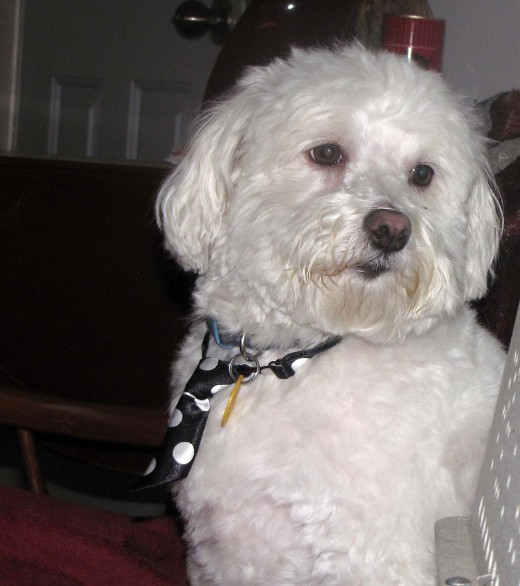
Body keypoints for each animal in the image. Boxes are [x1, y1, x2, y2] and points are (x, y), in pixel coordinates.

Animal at [138, 46, 504, 584]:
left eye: (422, 174)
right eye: (327, 153)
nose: (392, 228)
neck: (288, 358)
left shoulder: (374, 557)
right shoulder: (227, 553)